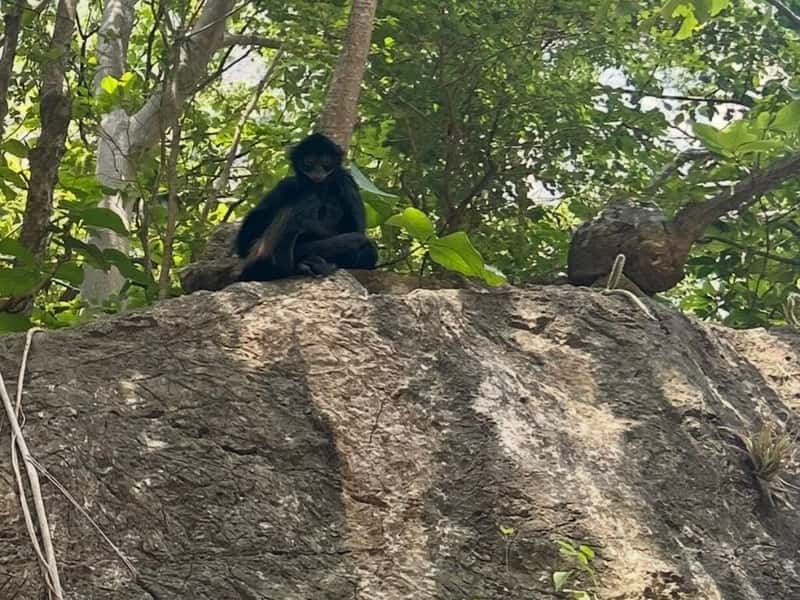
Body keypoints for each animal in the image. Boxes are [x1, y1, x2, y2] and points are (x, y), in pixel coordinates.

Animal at [235, 133, 378, 281]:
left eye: (325, 160)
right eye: (309, 160)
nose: (317, 171)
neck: (317, 188)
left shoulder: (346, 182)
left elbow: (357, 232)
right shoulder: (287, 184)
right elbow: (244, 242)